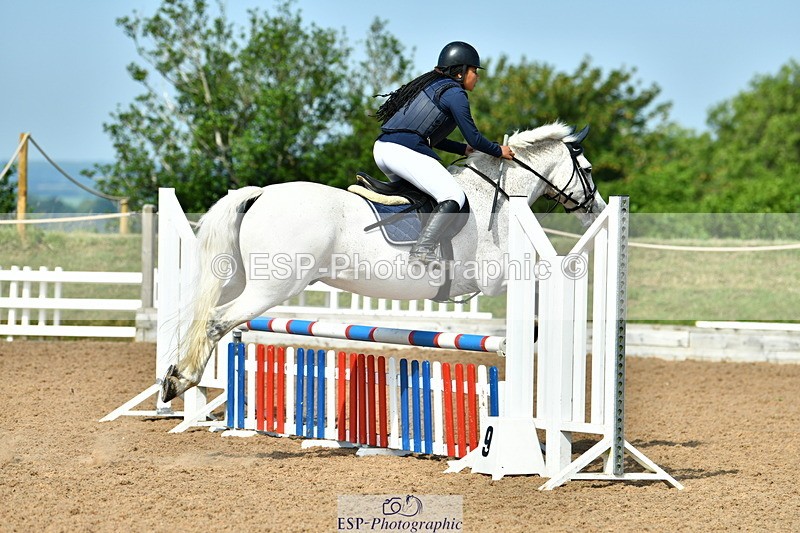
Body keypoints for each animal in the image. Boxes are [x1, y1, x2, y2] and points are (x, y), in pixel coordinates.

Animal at [161, 122, 607, 402]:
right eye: (586, 169)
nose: (598, 211)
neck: (494, 197)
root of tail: (260, 194)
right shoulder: (494, 278)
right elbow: (540, 277)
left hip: (242, 279)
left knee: (206, 316)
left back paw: (174, 379)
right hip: (271, 288)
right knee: (217, 321)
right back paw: (181, 380)